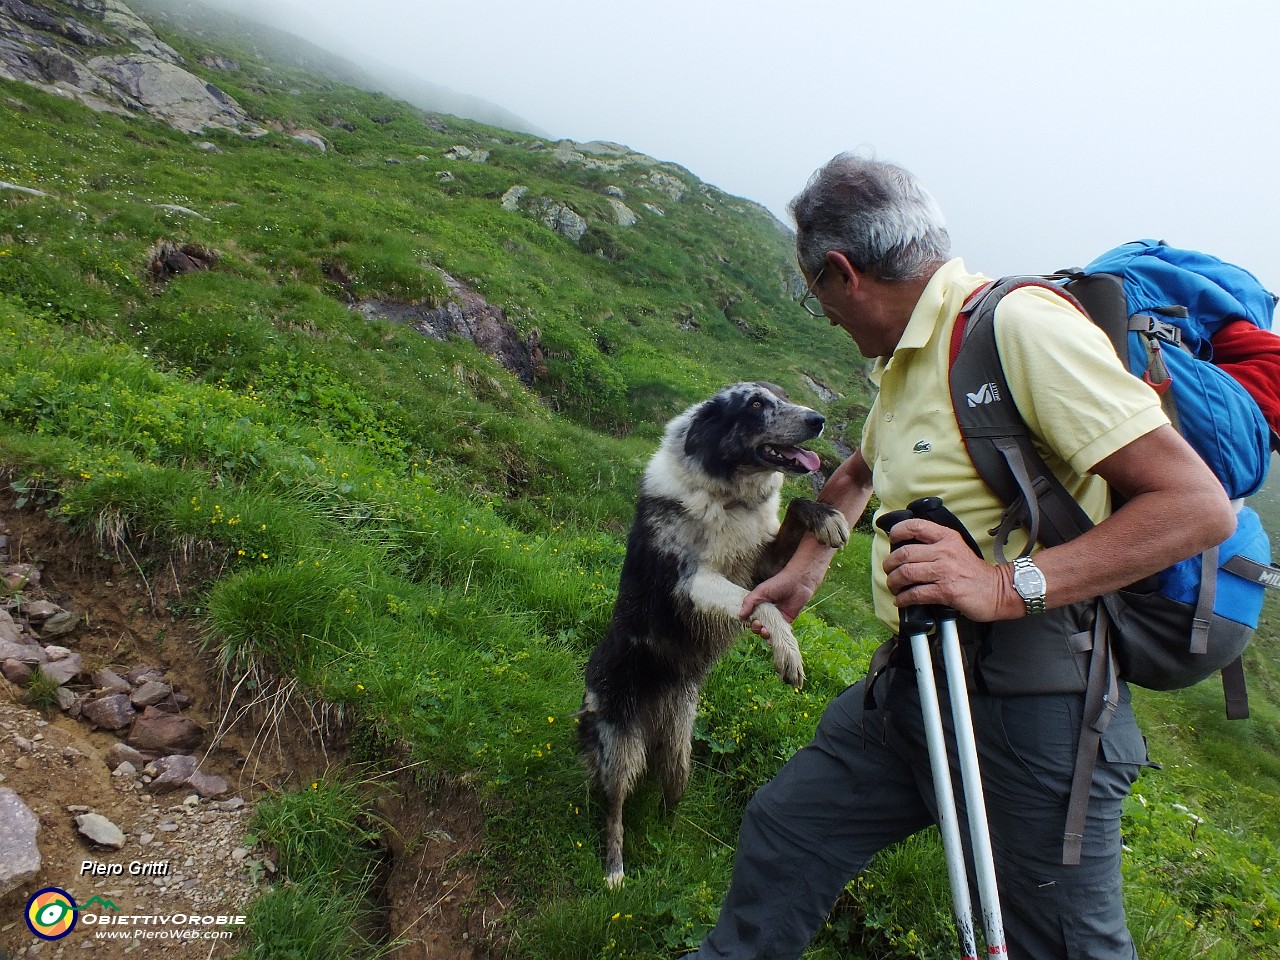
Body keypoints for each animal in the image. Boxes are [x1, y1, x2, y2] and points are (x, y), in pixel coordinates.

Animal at [576, 381, 844, 885]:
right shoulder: (696, 583)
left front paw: (825, 517)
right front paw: (787, 649)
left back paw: (672, 844)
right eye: (755, 404)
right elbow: (761, 605)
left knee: (669, 799)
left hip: (680, 753)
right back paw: (615, 869)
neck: (728, 495)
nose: (817, 420)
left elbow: (793, 514)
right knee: (613, 806)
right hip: (621, 749)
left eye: (782, 395)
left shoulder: (761, 566)